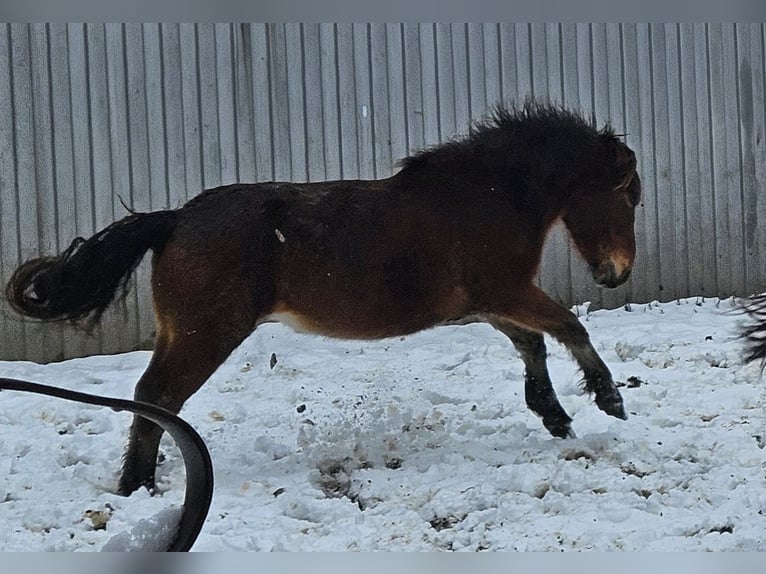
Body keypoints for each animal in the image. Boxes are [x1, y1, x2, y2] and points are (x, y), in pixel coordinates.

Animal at [4, 101, 640, 498]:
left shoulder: (488, 302)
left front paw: (554, 414)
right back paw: (137, 486)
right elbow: (568, 327)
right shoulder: (506, 289)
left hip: (184, 333)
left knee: (151, 398)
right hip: (206, 333)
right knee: (155, 396)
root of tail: (175, 219)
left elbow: (533, 342)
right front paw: (608, 398)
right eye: (628, 196)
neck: (486, 195)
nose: (616, 274)